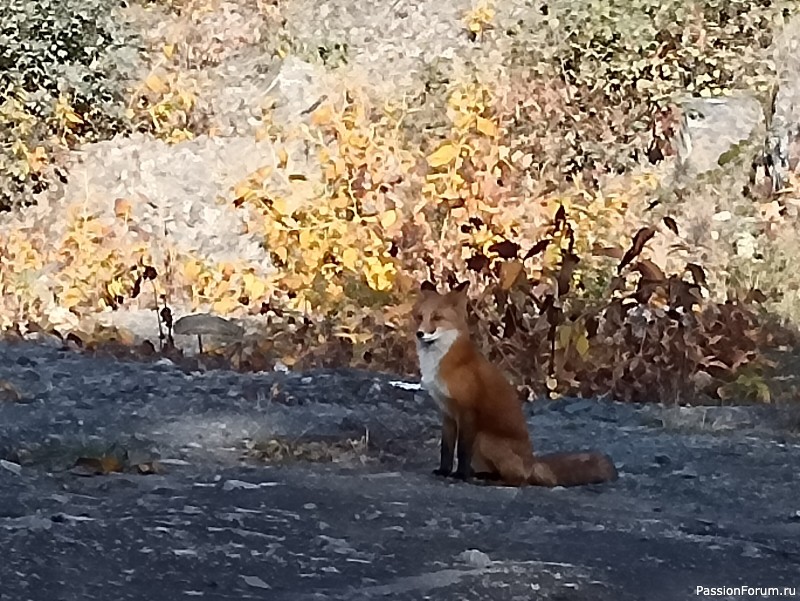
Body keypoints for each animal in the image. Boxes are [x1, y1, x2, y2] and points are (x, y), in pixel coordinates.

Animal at [412, 278, 620, 486]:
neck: (444, 363)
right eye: (420, 317)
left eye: (437, 318)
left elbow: (463, 451)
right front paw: (444, 471)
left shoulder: (468, 412)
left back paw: (493, 480)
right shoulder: (447, 413)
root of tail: (531, 463)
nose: (419, 334)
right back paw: (483, 475)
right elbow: (446, 450)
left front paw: (460, 475)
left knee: (518, 479)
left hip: (483, 438)